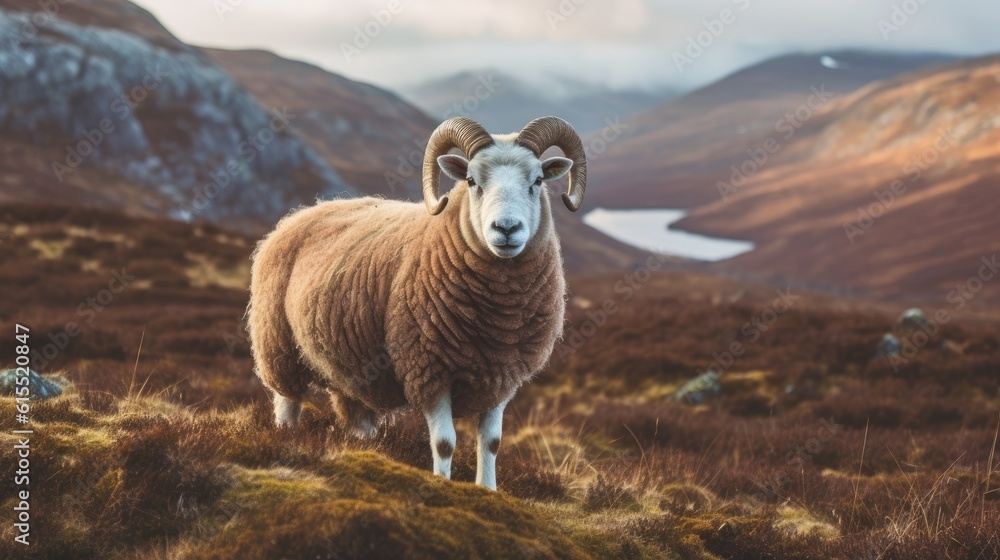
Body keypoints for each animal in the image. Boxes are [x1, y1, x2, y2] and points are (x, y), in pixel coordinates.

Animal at [247, 116, 588, 490]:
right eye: (472, 181)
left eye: (537, 181)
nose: (507, 228)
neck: (499, 318)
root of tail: (305, 211)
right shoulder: (429, 369)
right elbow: (444, 443)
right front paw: (441, 486)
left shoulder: (501, 378)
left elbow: (492, 442)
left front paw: (487, 490)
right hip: (278, 346)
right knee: (287, 402)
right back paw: (286, 440)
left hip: (352, 367)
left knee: (356, 415)